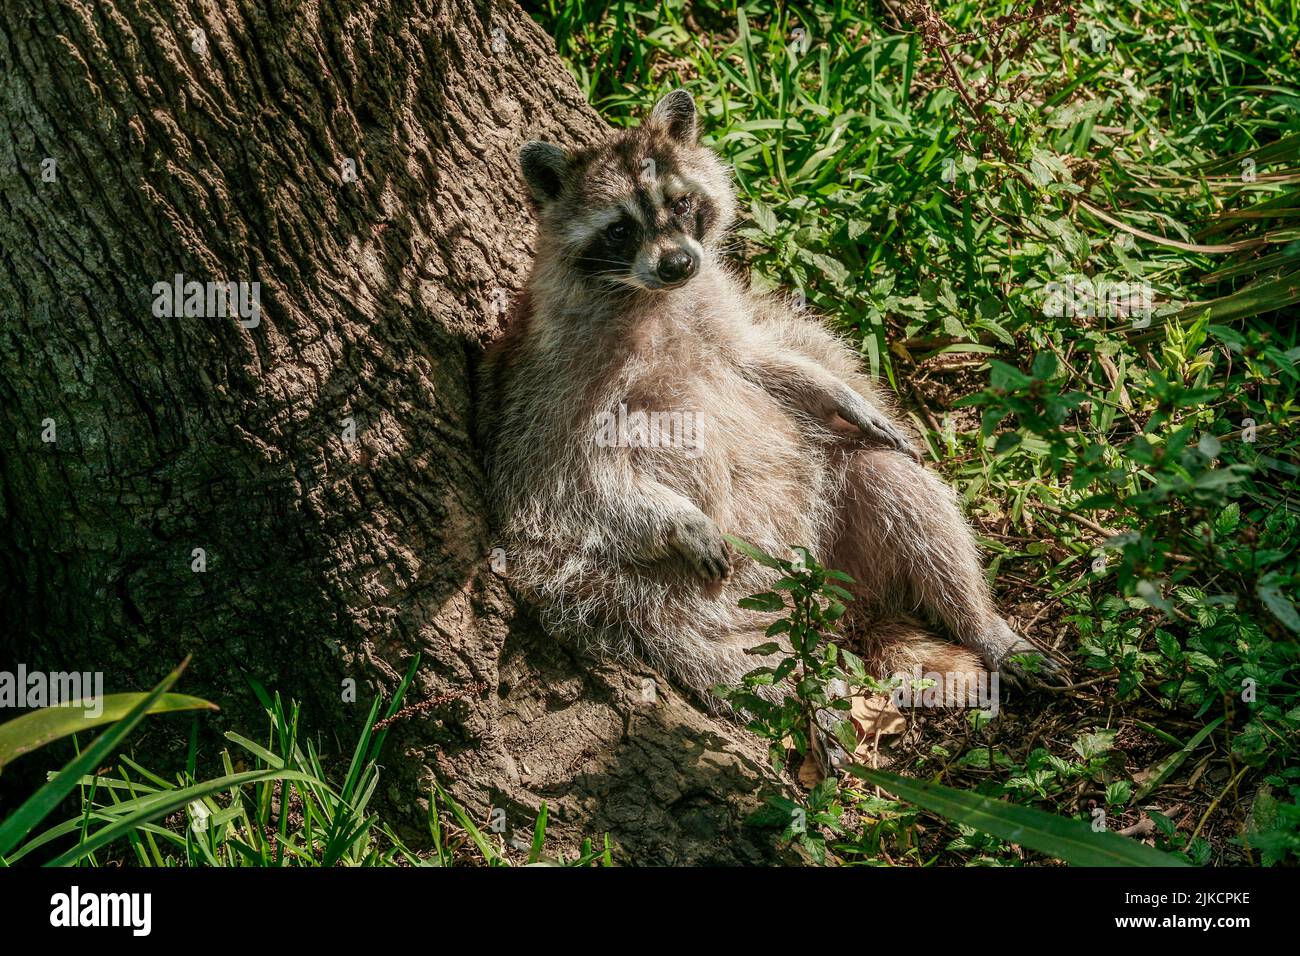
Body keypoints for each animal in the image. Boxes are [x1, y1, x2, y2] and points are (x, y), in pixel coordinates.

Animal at [483, 89, 1060, 712]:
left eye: (681, 202)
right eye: (618, 229)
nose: (678, 263)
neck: (651, 298)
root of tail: (840, 603)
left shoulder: (715, 308)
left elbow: (759, 361)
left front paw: (838, 392)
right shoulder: (549, 385)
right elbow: (566, 480)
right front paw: (678, 518)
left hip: (838, 499)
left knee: (900, 487)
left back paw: (982, 624)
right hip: (632, 589)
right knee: (708, 645)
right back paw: (811, 698)